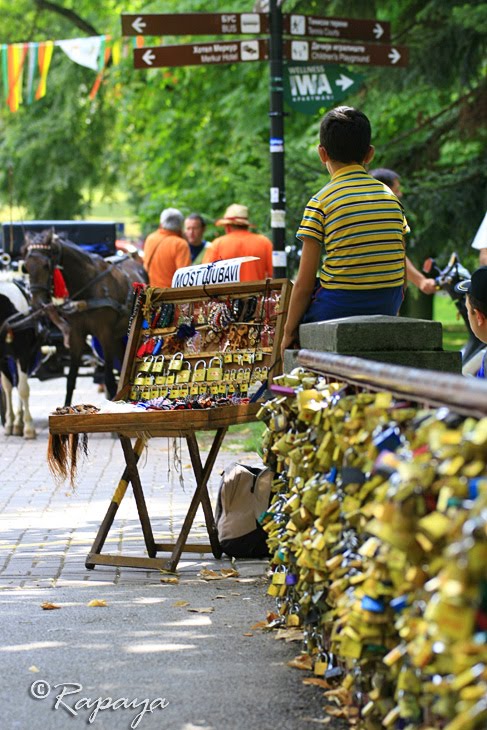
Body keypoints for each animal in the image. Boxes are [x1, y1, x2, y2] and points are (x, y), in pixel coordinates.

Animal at [21, 229, 147, 404]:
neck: (88, 285)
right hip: (116, 337)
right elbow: (71, 379)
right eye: (26, 266)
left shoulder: (104, 335)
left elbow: (109, 379)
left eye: (46, 265)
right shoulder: (76, 335)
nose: (37, 303)